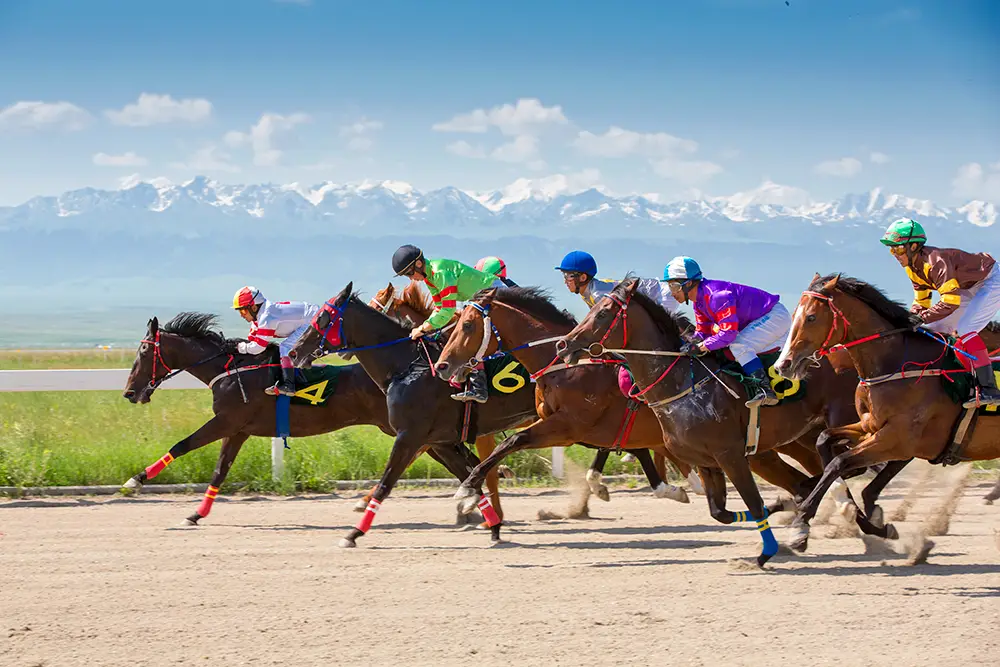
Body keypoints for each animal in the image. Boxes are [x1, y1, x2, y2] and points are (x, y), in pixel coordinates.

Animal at [286, 282, 544, 548]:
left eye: (323, 317)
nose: (294, 353)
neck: (408, 367)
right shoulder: (439, 441)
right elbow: (470, 474)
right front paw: (491, 523)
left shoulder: (410, 435)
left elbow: (387, 483)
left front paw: (354, 533)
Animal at [438, 288, 836, 528]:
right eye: (455, 323)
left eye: (468, 325)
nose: (442, 366)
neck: (569, 367)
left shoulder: (568, 426)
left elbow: (511, 442)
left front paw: (467, 491)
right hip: (766, 449)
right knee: (806, 477)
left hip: (786, 441)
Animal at [560, 278, 880, 568]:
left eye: (603, 313)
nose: (565, 344)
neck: (682, 383)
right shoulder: (706, 461)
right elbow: (721, 513)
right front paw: (785, 511)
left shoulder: (730, 455)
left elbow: (753, 502)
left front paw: (766, 552)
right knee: (825, 471)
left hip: (849, 425)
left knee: (849, 465)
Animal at [776, 274, 1000, 552]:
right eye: (794, 314)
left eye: (811, 317)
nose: (783, 365)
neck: (895, 365)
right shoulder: (870, 427)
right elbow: (825, 442)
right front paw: (855, 511)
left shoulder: (897, 440)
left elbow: (839, 463)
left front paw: (801, 525)